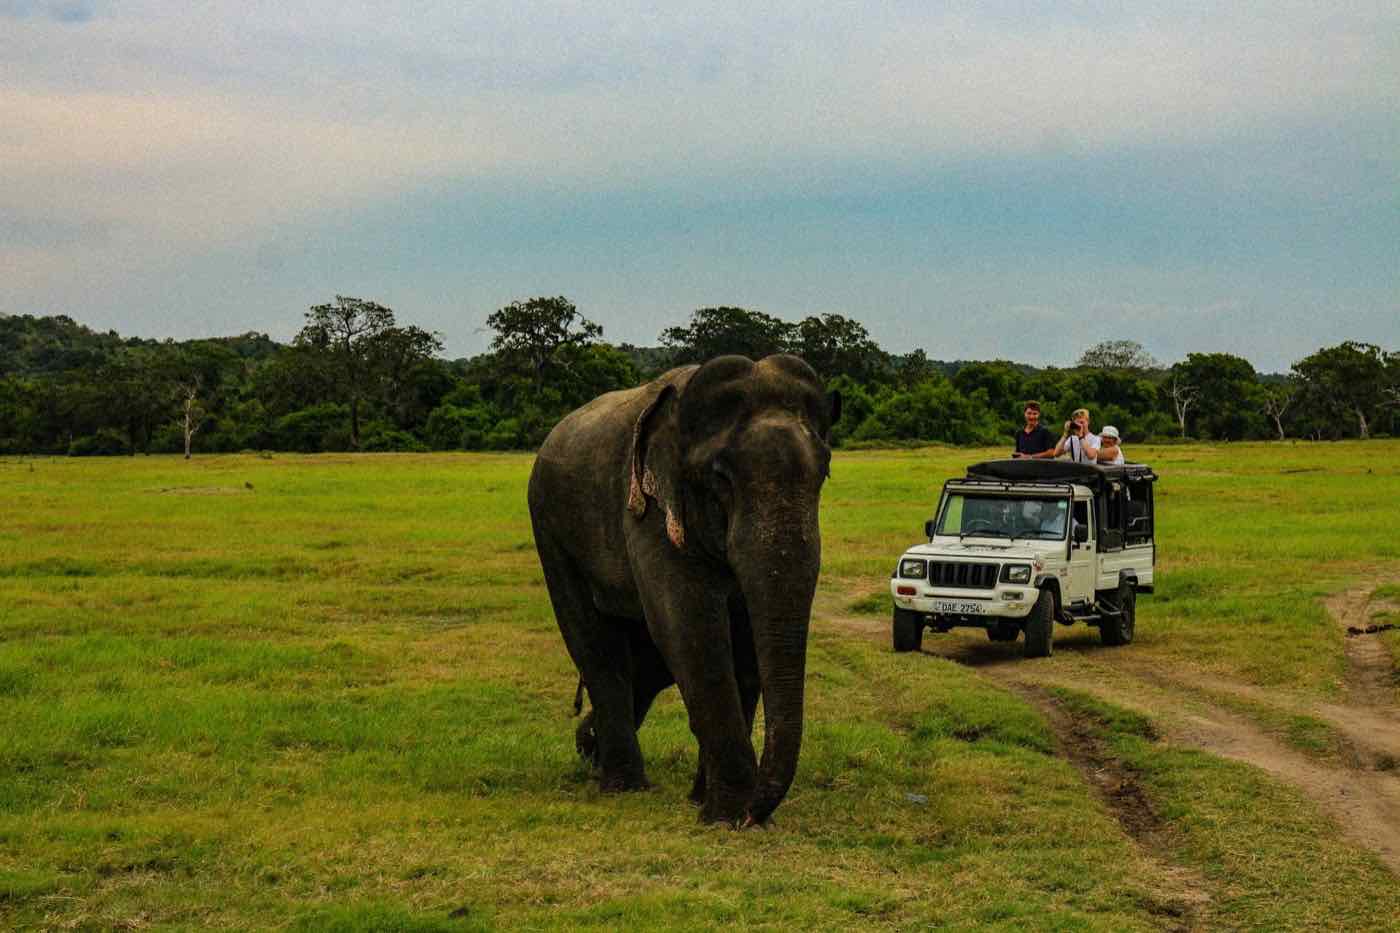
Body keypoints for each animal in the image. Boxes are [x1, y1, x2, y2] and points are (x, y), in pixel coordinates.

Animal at [528, 354, 839, 825]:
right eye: (721, 478)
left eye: (824, 472)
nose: (756, 813)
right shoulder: (649, 511)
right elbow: (689, 626)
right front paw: (728, 815)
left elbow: (742, 639)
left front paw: (711, 804)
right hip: (550, 529)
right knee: (596, 645)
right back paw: (622, 784)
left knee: (644, 662)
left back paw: (591, 751)